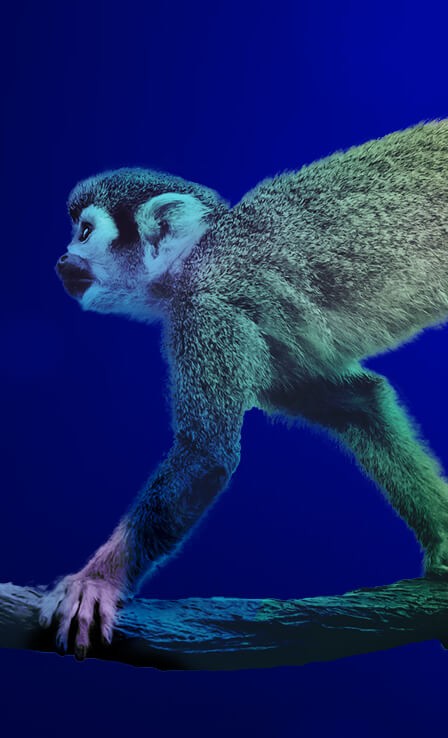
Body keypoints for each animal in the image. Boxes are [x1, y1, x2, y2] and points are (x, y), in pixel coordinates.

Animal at [40, 119, 448, 660]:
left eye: (85, 232)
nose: (63, 257)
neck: (195, 256)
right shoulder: (263, 338)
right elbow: (360, 405)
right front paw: (444, 540)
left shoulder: (209, 309)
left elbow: (206, 455)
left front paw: (99, 580)